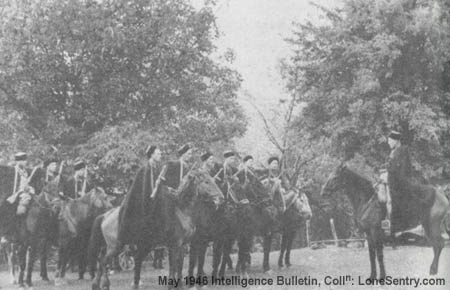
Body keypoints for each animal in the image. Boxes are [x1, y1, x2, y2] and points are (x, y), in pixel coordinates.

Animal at [90, 169, 225, 288]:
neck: (181, 210)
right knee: (104, 262)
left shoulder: (183, 246)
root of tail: (106, 215)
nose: (221, 198)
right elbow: (173, 266)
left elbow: (179, 266)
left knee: (105, 261)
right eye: (206, 182)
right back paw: (104, 284)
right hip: (116, 246)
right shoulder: (174, 245)